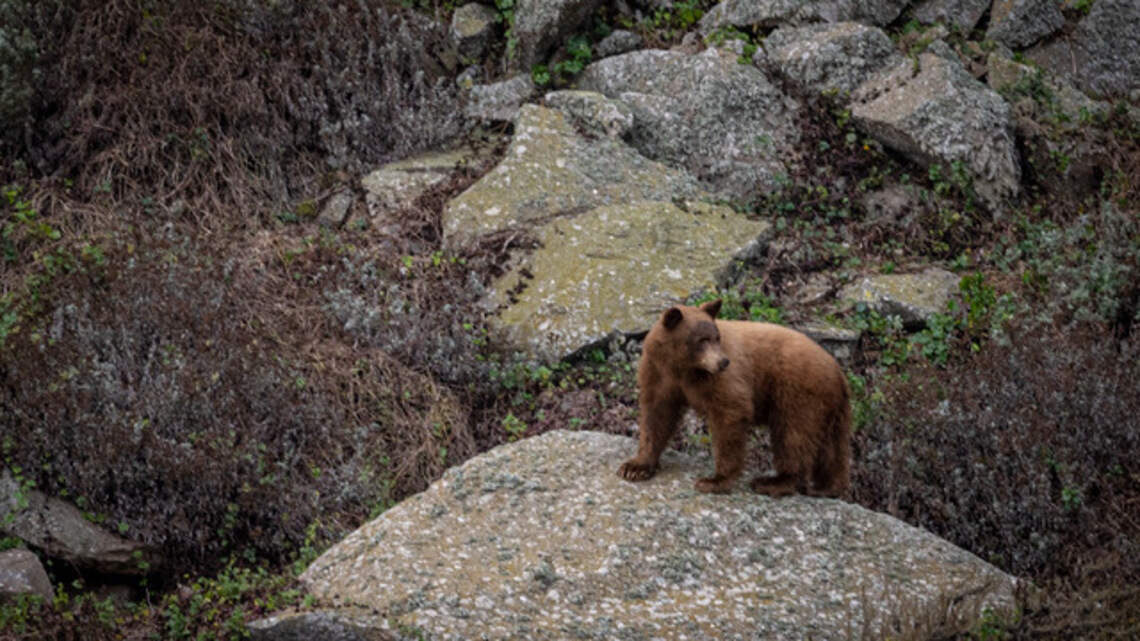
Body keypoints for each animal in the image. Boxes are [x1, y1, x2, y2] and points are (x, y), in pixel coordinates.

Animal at [617, 299, 851, 498]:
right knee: (832, 447)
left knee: (793, 435)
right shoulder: (658, 373)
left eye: (717, 337)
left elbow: (729, 413)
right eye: (702, 340)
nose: (723, 362)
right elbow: (656, 415)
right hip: (830, 406)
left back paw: (774, 482)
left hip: (799, 393)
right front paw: (635, 467)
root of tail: (838, 371)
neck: (683, 368)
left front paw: (714, 480)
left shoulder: (720, 379)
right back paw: (827, 487)